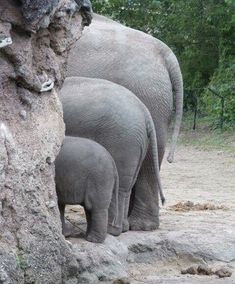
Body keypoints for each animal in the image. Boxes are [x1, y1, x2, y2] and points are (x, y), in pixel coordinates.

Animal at [59, 76, 164, 232]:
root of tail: (144, 111)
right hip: (137, 142)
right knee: (126, 186)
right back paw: (122, 228)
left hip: (122, 141)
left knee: (117, 185)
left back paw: (112, 230)